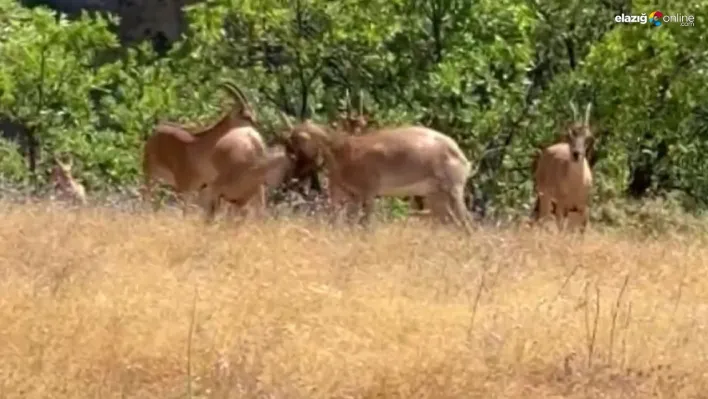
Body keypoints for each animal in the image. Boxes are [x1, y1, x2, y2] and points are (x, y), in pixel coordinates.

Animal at [532, 101, 596, 233]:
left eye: (588, 137)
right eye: (570, 135)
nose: (576, 154)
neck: (576, 185)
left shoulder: (582, 207)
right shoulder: (562, 206)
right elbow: (561, 228)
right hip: (544, 194)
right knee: (543, 217)